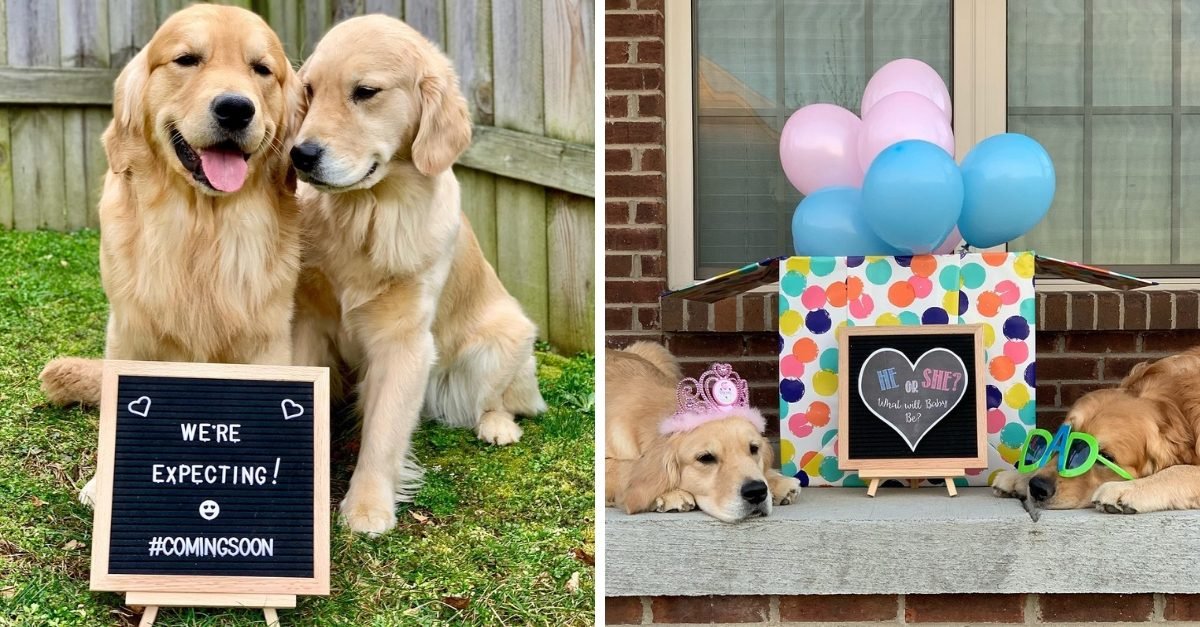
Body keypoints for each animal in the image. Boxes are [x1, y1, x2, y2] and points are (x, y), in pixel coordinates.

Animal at [40, 4, 307, 502]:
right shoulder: (128, 330)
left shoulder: (268, 339)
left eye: (262, 70)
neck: (200, 229)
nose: (236, 108)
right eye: (186, 60)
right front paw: (103, 483)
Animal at [604, 338, 801, 518]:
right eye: (706, 458)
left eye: (754, 448)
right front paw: (670, 493)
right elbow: (625, 470)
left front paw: (776, 480)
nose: (756, 491)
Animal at [993, 345, 1200, 511]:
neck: (1175, 407)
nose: (1038, 487)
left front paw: (1126, 488)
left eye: (1106, 457)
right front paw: (1020, 476)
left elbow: (1180, 470)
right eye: (1061, 439)